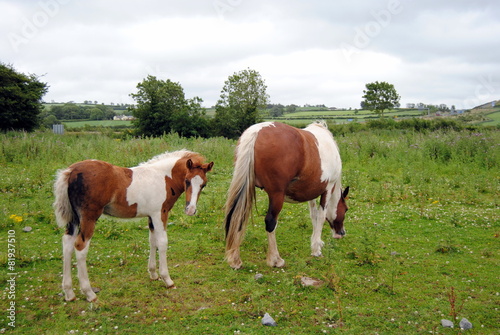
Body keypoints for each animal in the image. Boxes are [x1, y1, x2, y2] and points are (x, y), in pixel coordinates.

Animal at [53, 150, 213, 302]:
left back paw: (69, 293)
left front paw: (153, 273)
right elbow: (162, 243)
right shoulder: (159, 214)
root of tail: (71, 171)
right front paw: (167, 280)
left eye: (203, 184)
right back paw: (89, 293)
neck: (164, 177)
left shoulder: (151, 217)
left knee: (67, 243)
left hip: (74, 219)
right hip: (89, 217)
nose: (190, 210)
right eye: (187, 180)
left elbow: (152, 241)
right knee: (80, 246)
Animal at [225, 122, 350, 270]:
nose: (341, 233)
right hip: (276, 195)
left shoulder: (312, 192)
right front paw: (317, 249)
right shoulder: (328, 189)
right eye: (346, 209)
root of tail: (256, 132)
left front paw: (315, 243)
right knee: (270, 221)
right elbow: (320, 216)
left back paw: (235, 260)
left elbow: (313, 215)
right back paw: (275, 260)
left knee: (238, 218)